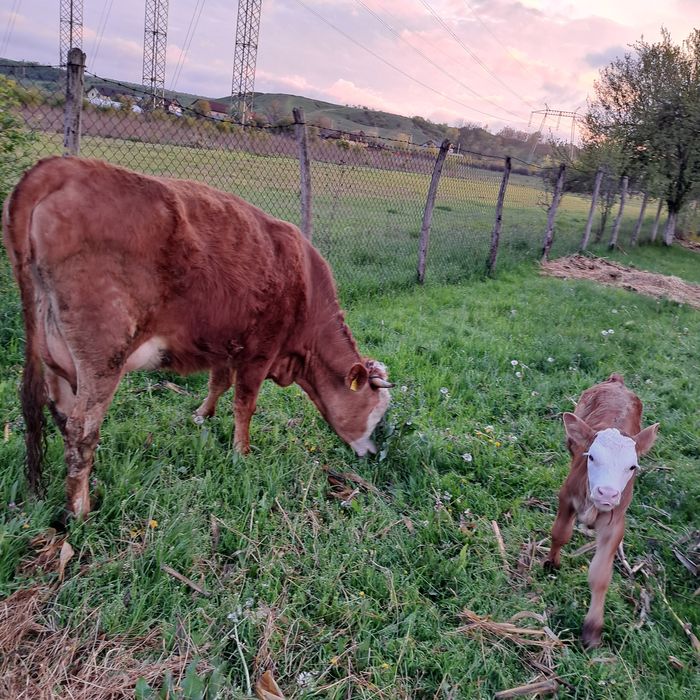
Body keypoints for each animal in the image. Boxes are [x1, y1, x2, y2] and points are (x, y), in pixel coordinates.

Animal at [3, 157, 393, 518]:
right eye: (376, 411)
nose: (374, 455)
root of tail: (61, 166)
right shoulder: (260, 351)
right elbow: (245, 403)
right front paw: (241, 452)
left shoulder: (226, 344)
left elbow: (218, 383)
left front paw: (202, 415)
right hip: (103, 353)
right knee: (82, 427)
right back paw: (81, 510)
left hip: (53, 349)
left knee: (56, 412)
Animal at [545, 374, 659, 648]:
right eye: (592, 457)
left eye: (632, 466)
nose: (607, 493)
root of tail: (617, 381)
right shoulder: (567, 496)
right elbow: (560, 533)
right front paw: (552, 562)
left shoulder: (616, 522)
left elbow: (600, 575)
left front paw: (593, 629)